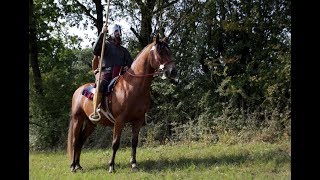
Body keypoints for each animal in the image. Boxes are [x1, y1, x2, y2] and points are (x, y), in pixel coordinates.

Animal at [67, 34, 178, 173]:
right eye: (161, 51)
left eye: (170, 51)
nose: (173, 71)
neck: (133, 86)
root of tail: (78, 91)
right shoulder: (120, 120)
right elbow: (115, 143)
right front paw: (111, 166)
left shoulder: (137, 121)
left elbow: (134, 142)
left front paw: (134, 164)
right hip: (78, 119)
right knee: (75, 141)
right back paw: (73, 166)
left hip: (90, 123)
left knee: (81, 141)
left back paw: (78, 165)